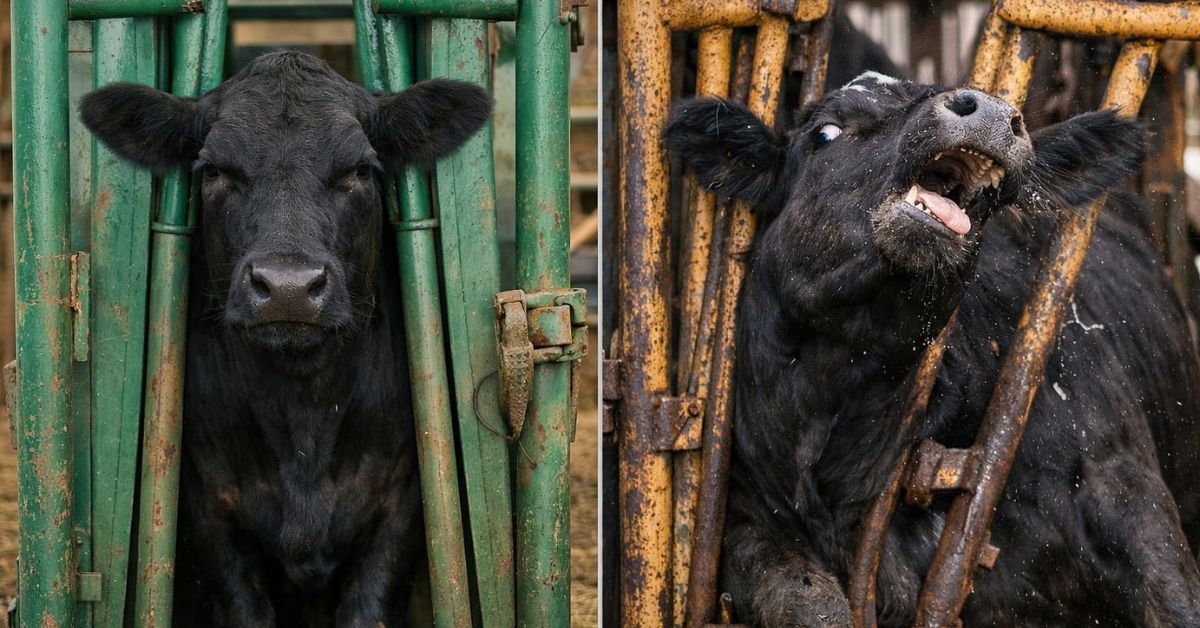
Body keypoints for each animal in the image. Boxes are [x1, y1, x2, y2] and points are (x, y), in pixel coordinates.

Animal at [81, 51, 491, 626]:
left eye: (359, 170)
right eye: (216, 170)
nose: (288, 288)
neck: (304, 416)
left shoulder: (404, 502)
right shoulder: (206, 512)